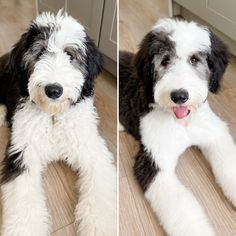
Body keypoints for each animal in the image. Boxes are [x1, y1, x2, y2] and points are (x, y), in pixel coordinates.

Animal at [0, 10, 117, 234]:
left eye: (70, 55)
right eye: (39, 53)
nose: (53, 90)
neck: (53, 116)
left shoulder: (91, 148)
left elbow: (100, 192)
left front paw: (99, 226)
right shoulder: (22, 153)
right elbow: (23, 202)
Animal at [120, 18, 232, 234]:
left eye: (194, 59)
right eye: (165, 60)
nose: (179, 96)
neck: (182, 123)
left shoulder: (215, 134)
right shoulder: (154, 160)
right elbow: (182, 210)